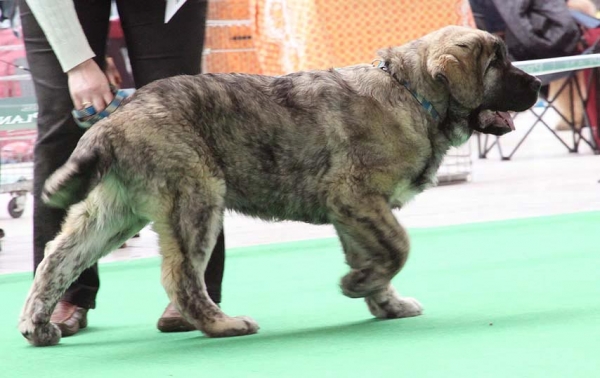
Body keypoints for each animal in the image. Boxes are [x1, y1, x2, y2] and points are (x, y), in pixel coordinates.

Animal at [21, 25, 540, 346]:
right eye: (497, 64)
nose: (537, 85)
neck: (412, 95)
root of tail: (114, 119)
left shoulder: (352, 212)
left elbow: (377, 256)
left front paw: (382, 299)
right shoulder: (356, 196)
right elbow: (399, 247)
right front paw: (358, 285)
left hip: (114, 211)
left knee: (58, 257)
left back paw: (36, 325)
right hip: (195, 199)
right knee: (181, 276)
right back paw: (222, 324)